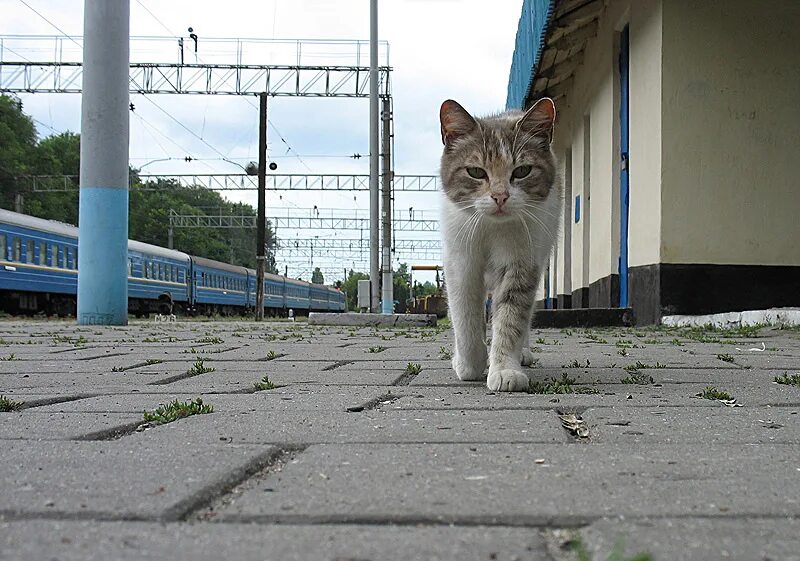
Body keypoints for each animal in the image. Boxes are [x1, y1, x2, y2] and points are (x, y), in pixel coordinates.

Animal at [438, 98, 564, 392]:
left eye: (522, 171)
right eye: (475, 172)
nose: (500, 196)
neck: (490, 228)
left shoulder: (522, 262)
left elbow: (511, 317)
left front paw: (505, 369)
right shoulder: (460, 263)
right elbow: (464, 317)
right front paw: (469, 365)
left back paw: (523, 353)